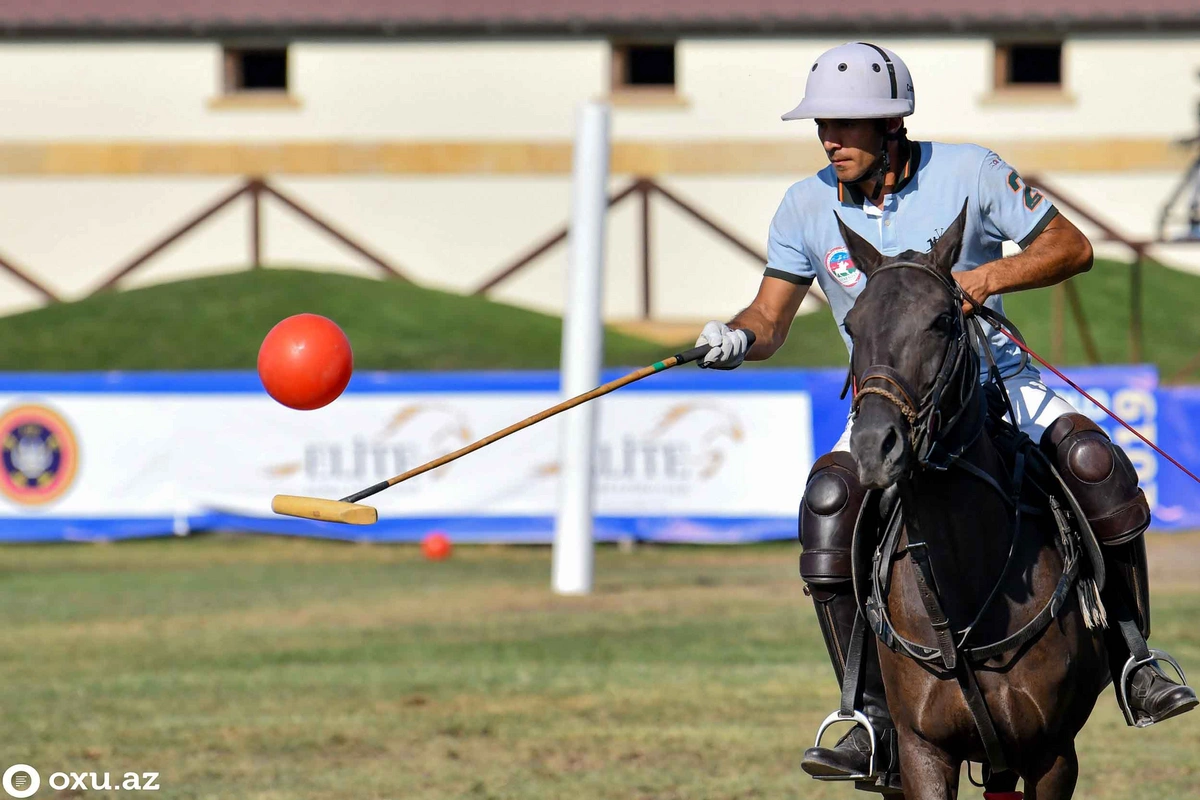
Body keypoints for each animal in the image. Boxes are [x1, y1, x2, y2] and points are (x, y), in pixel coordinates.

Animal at [835, 208, 1104, 800]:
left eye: (941, 320)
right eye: (852, 326)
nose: (874, 447)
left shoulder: (1053, 754)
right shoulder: (922, 751)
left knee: (1088, 453)